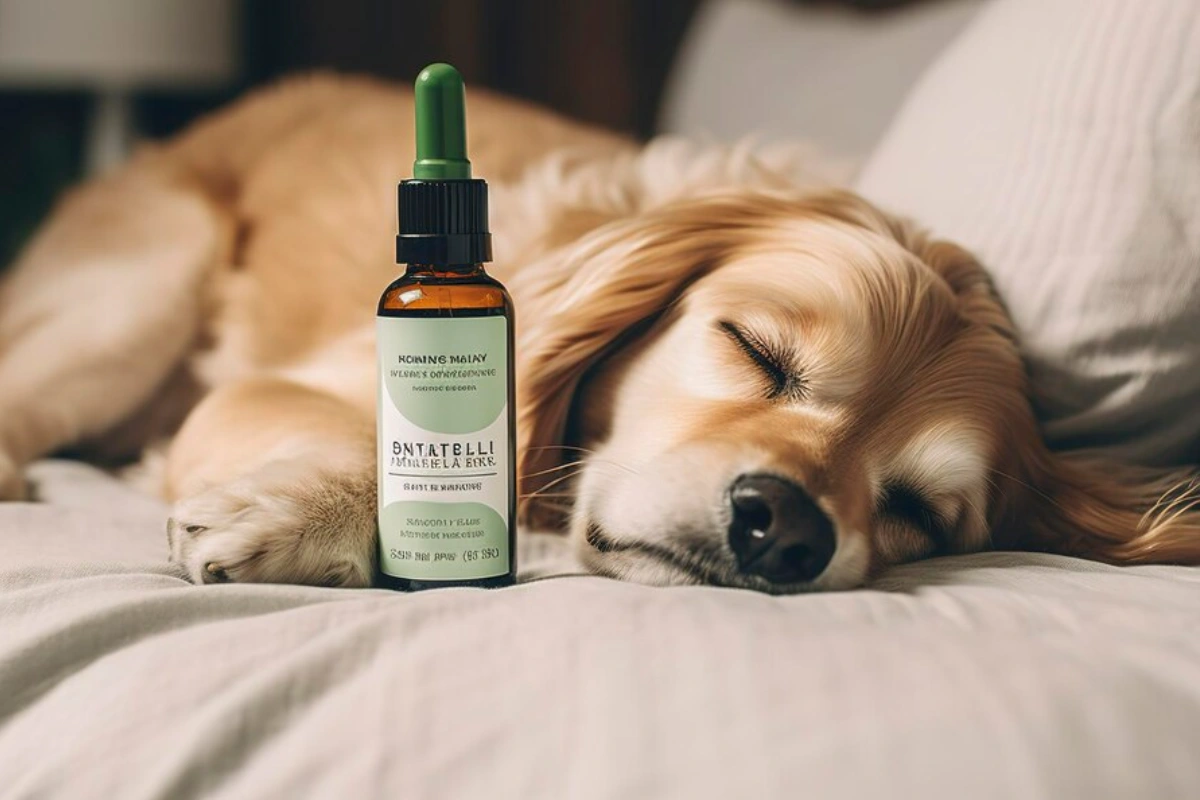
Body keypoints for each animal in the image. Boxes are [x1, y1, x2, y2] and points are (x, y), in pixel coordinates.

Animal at [2, 74, 1200, 592]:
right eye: (755, 350)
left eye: (918, 512)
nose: (785, 528)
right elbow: (363, 442)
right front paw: (301, 513)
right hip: (151, 275)